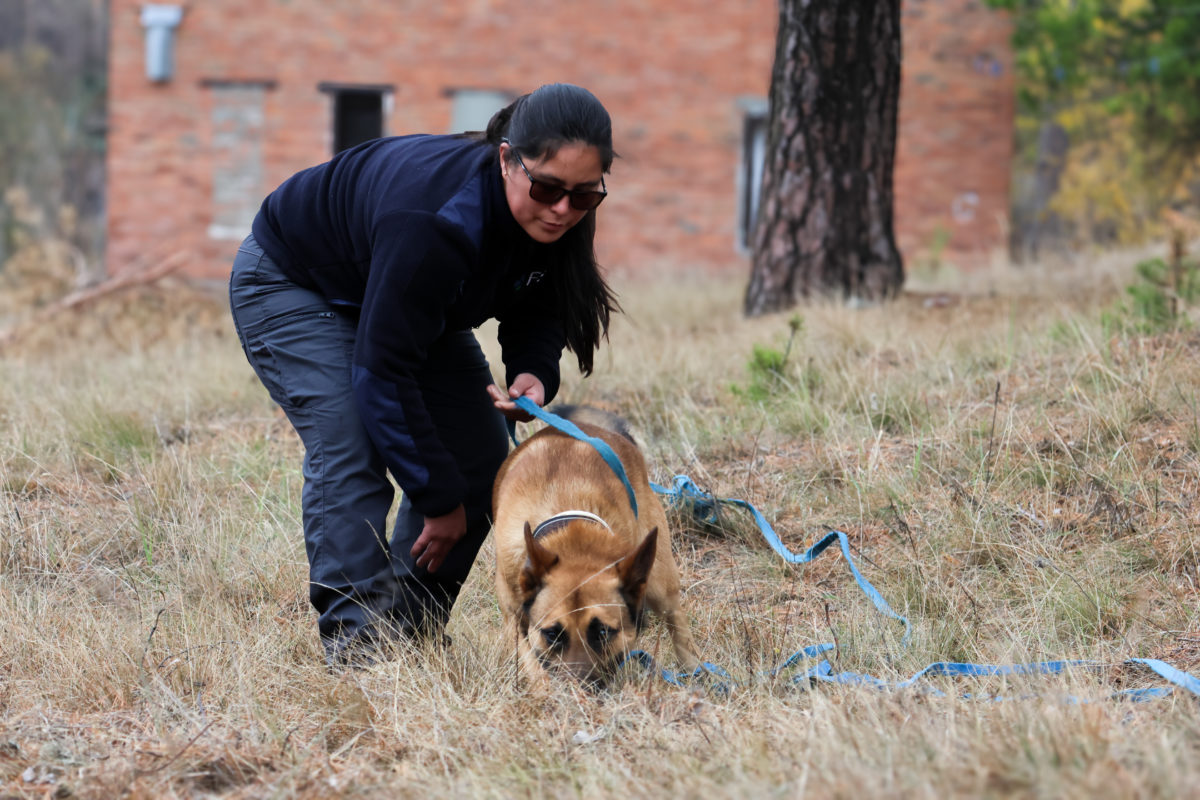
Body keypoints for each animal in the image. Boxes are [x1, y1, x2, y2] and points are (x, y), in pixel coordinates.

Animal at [494, 410, 700, 686]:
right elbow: (534, 669)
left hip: (659, 583)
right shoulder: (514, 622)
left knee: (676, 621)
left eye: (603, 632)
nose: (580, 690)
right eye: (552, 634)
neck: (571, 529)